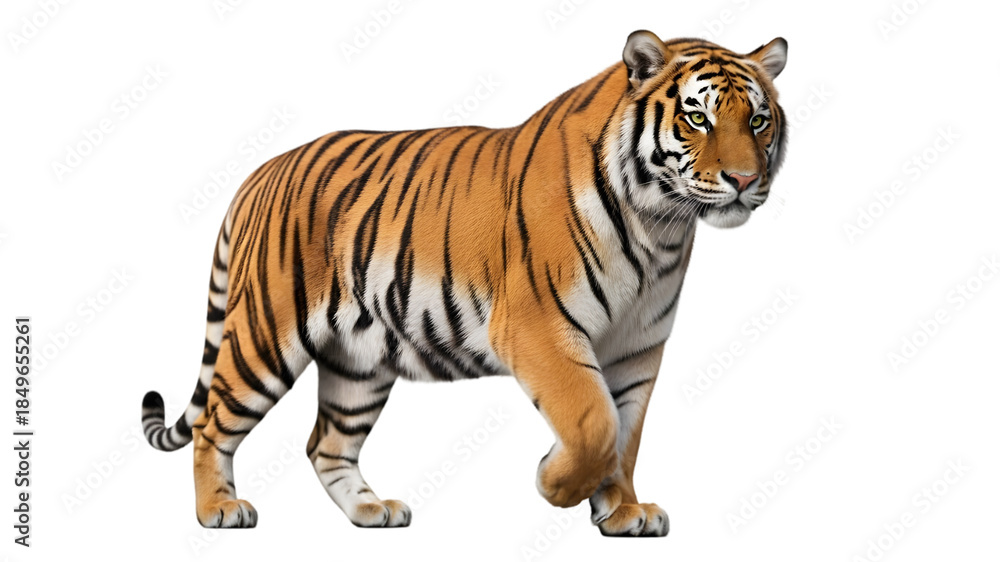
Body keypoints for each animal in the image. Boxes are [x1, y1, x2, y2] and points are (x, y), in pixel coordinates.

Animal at [141, 30, 787, 537]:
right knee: (213, 422)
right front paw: (555, 482)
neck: (661, 227)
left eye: (758, 120)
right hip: (264, 337)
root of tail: (260, 172)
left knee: (325, 443)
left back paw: (372, 511)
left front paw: (624, 512)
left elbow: (625, 435)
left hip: (358, 363)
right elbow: (594, 422)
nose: (744, 180)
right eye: (697, 117)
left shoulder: (637, 350)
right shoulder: (540, 327)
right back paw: (219, 510)